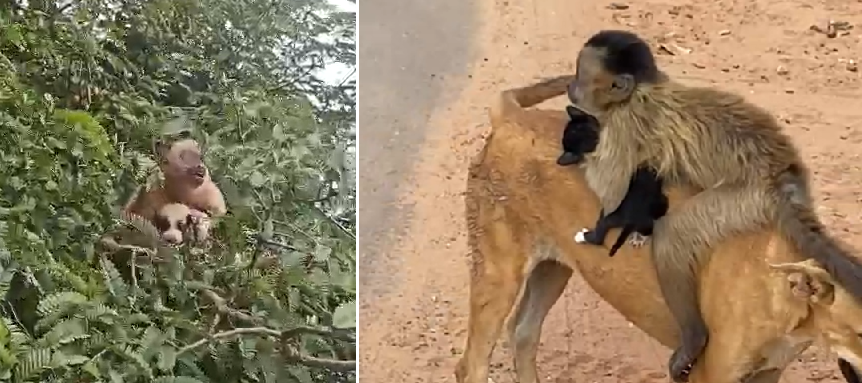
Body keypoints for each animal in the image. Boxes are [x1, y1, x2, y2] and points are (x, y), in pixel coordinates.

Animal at [456, 77, 862, 383]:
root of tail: (511, 117)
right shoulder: (710, 375)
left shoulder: (767, 374)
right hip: (498, 274)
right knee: (471, 364)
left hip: (553, 269)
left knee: (522, 334)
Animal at [572, 28, 862, 382]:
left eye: (581, 74)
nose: (571, 87)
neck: (641, 91)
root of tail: (783, 178)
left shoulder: (624, 124)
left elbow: (612, 191)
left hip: (744, 201)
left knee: (674, 235)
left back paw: (694, 338)